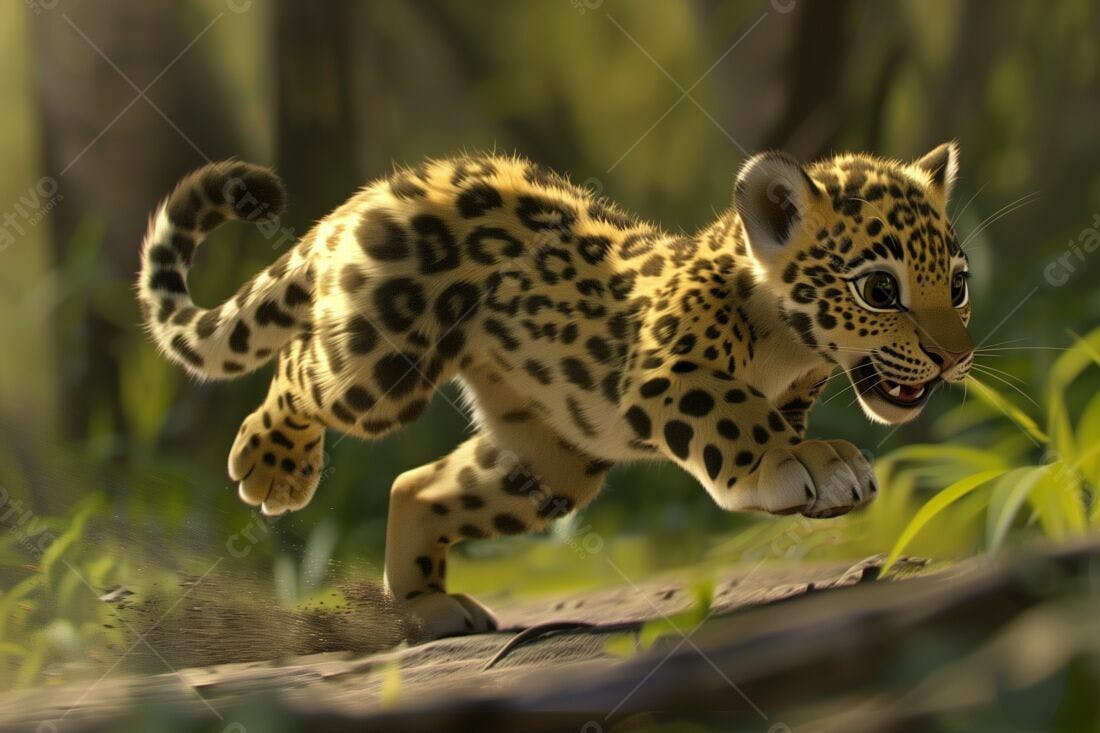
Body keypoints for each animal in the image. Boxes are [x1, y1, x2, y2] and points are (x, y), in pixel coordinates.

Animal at [136, 143, 973, 638]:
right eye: (879, 289)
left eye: (958, 284)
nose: (954, 359)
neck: (789, 342)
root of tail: (367, 196)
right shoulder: (664, 374)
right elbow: (739, 418)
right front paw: (801, 465)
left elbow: (776, 417)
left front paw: (817, 459)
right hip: (378, 364)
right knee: (300, 371)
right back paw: (273, 466)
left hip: (550, 455)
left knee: (417, 483)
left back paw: (427, 605)